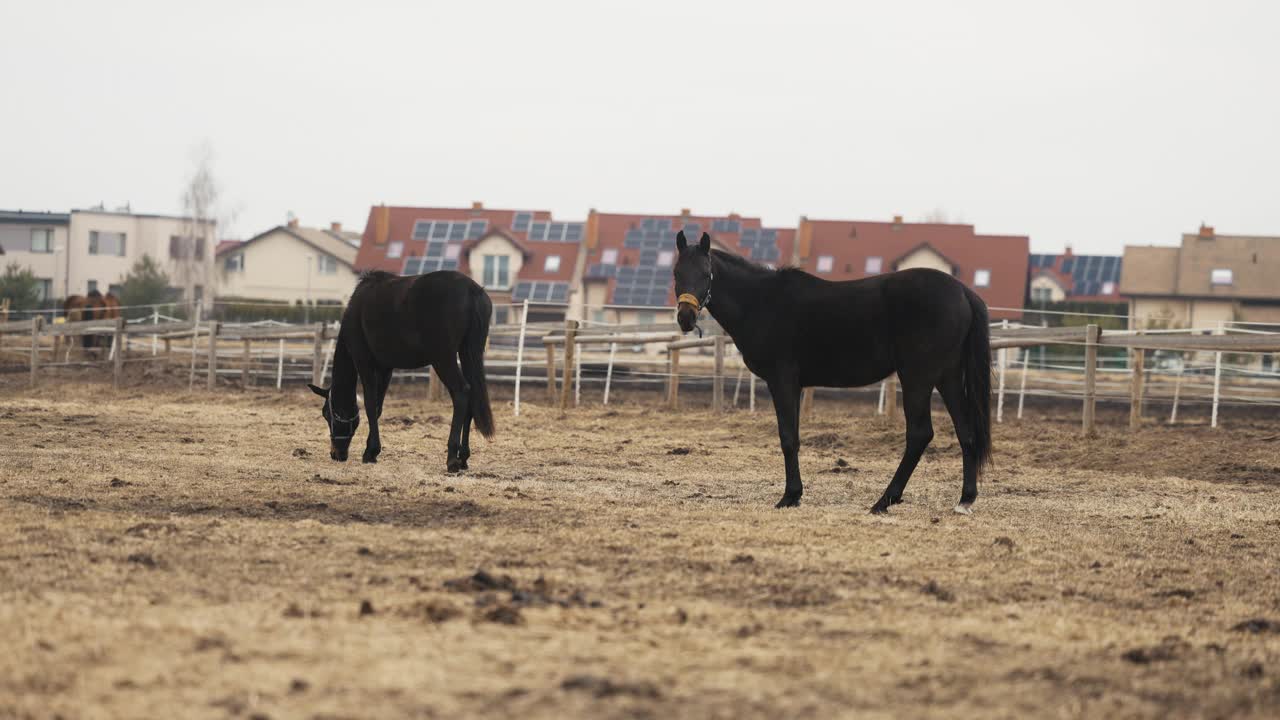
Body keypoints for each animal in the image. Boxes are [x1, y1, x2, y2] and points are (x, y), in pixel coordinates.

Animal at [304, 269, 494, 471]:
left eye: (326, 414)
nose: (336, 454)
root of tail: (472, 290)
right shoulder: (385, 368)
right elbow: (378, 407)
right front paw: (372, 450)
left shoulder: (364, 362)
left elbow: (370, 404)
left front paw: (370, 452)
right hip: (467, 353)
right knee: (472, 395)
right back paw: (463, 457)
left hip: (443, 359)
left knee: (461, 392)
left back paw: (452, 458)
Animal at [675, 226, 993, 512]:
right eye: (677, 273)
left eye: (705, 273)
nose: (685, 318)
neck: (762, 302)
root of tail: (962, 291)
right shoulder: (794, 385)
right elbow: (793, 436)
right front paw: (795, 494)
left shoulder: (782, 380)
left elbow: (788, 437)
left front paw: (789, 496)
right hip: (948, 376)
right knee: (966, 431)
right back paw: (964, 500)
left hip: (918, 377)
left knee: (919, 434)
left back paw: (884, 501)